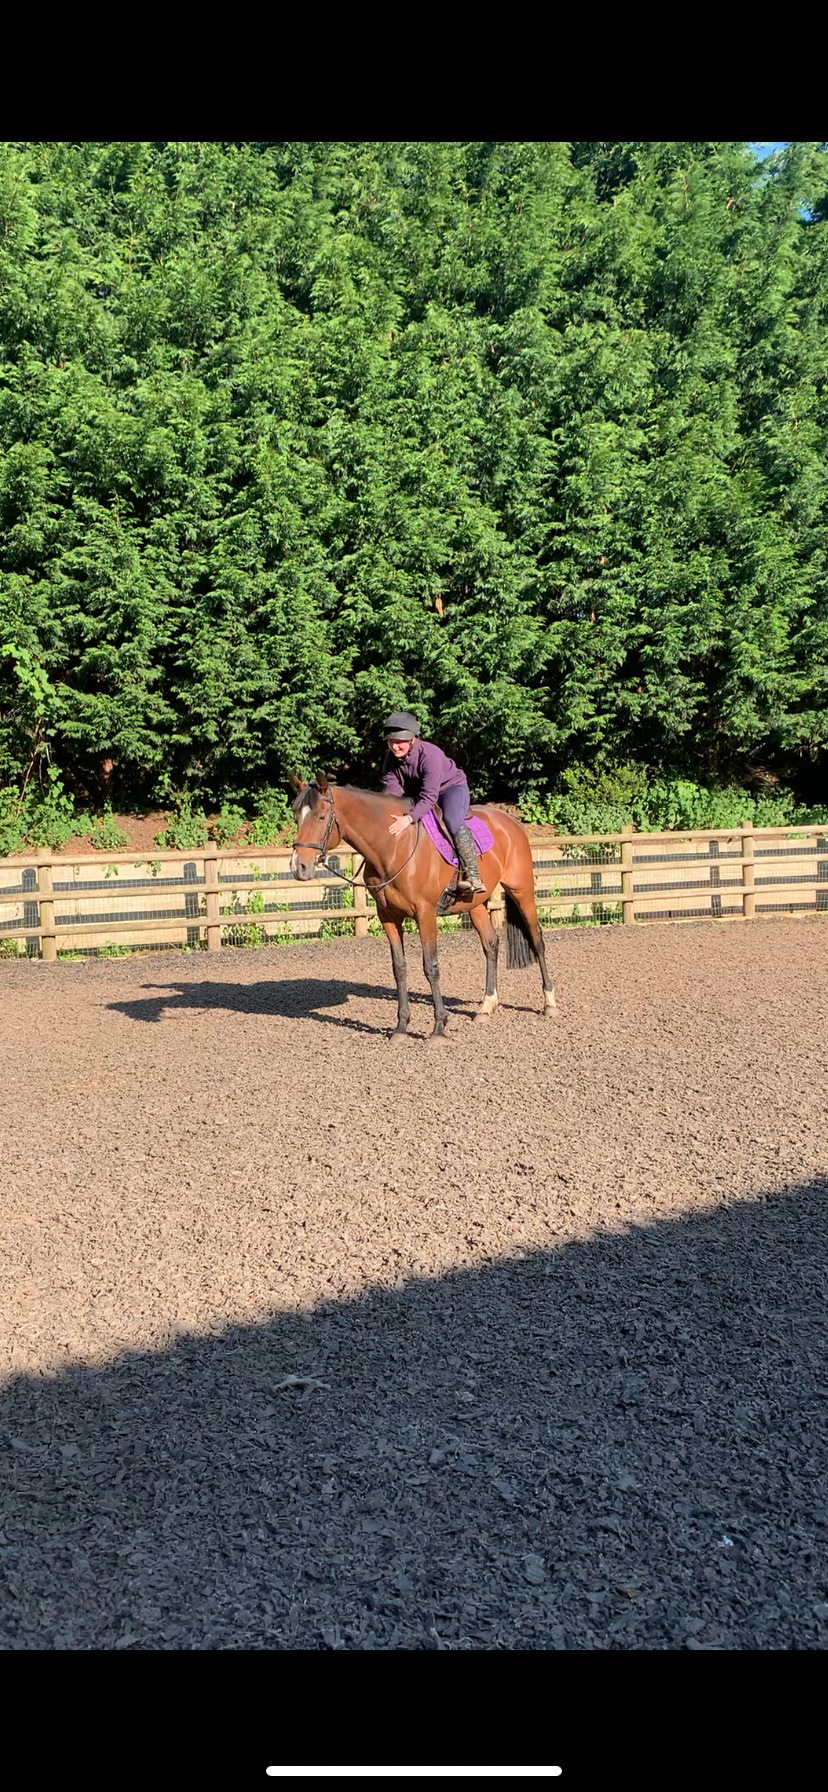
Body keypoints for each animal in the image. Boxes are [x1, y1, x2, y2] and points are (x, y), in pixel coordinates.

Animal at [290, 776, 556, 1040]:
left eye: (321, 816)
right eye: (296, 816)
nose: (298, 866)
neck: (393, 846)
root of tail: (510, 823)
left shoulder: (425, 913)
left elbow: (431, 966)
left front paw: (439, 1028)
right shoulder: (388, 916)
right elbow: (399, 968)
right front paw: (401, 1027)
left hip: (522, 892)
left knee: (537, 940)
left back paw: (549, 1003)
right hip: (476, 904)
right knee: (491, 944)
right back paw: (486, 1006)